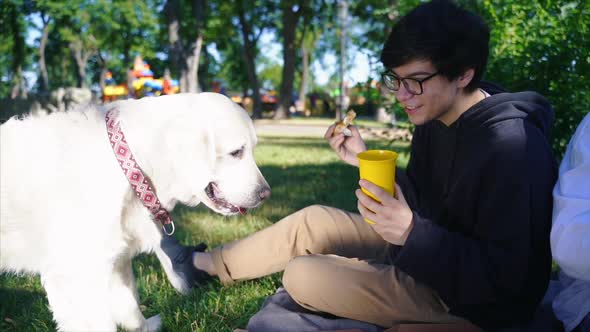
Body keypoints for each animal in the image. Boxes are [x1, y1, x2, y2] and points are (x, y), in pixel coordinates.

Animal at [0, 92, 272, 330]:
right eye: (236, 152)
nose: (265, 193)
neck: (127, 164)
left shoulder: (115, 261)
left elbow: (130, 307)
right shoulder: (77, 274)